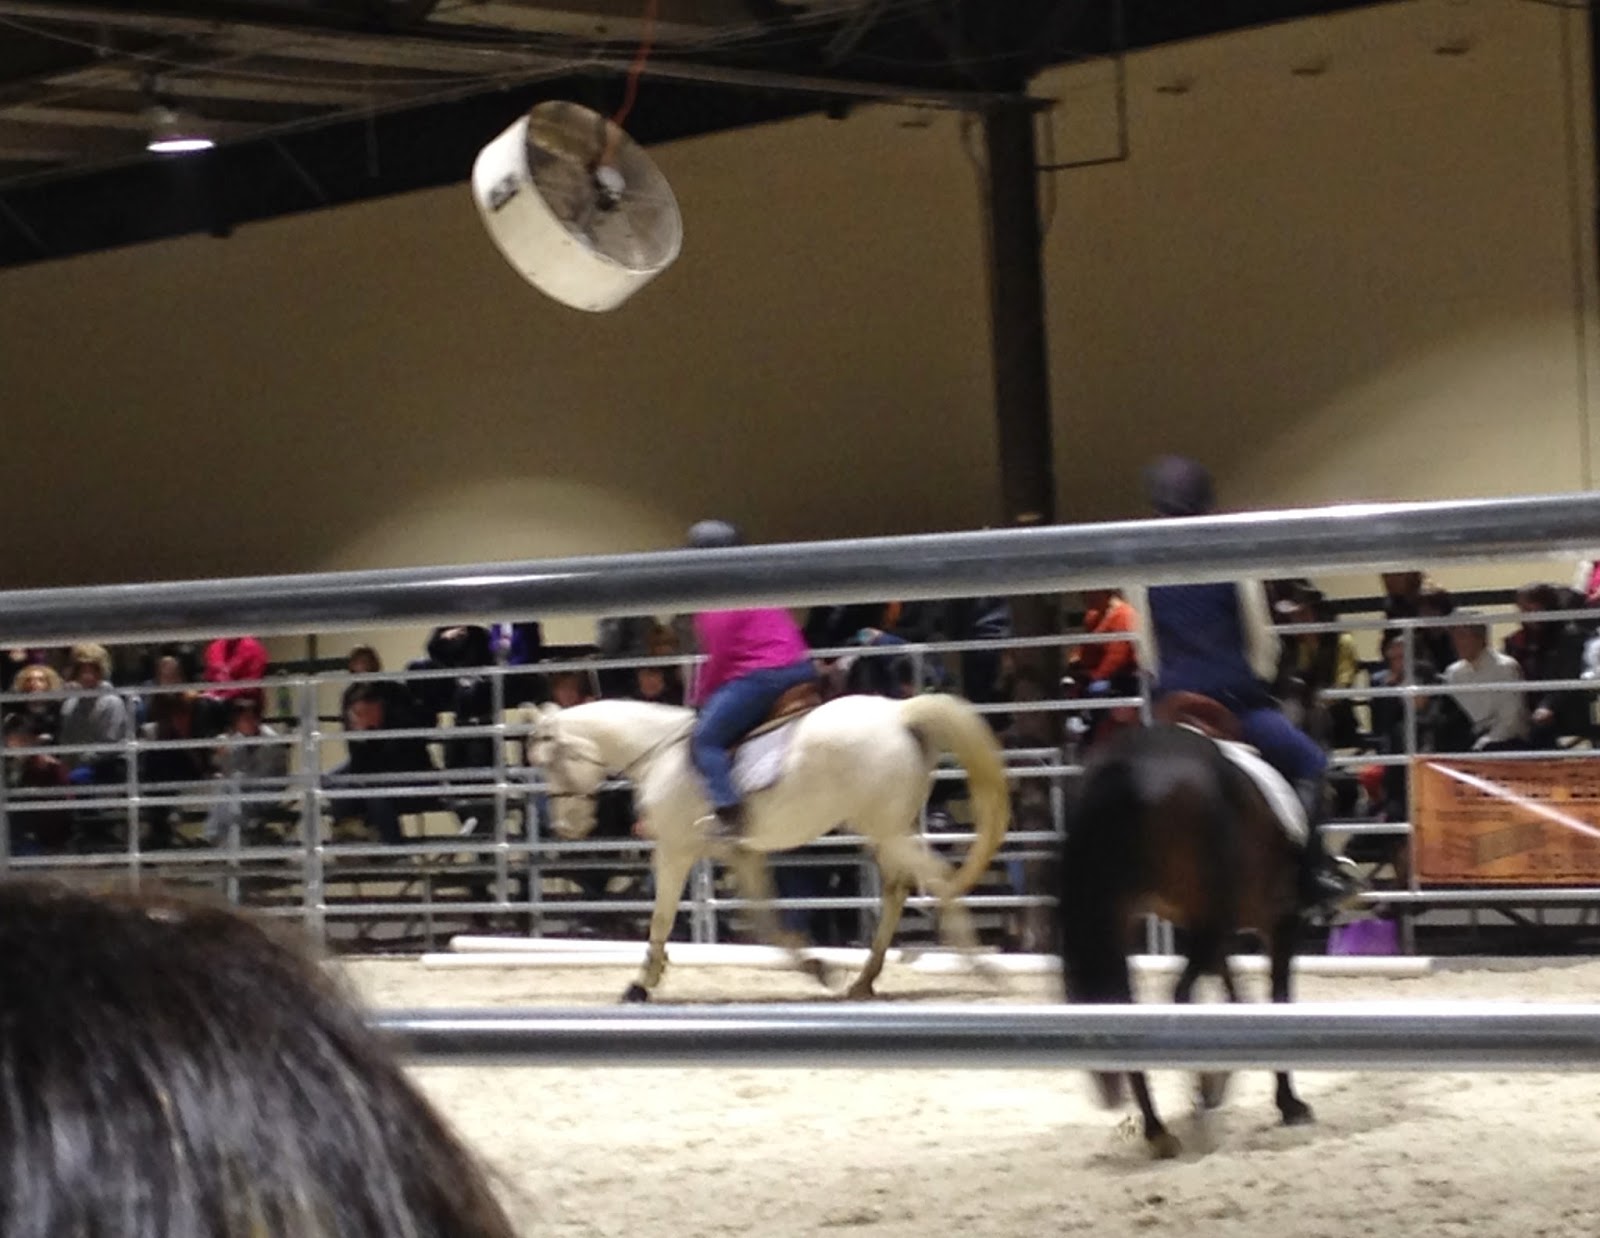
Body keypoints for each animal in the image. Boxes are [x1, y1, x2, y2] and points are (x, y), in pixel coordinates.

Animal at [526, 692, 1011, 1001]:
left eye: (549, 761)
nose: (566, 827)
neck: (659, 754)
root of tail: (898, 713)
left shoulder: (675, 849)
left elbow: (662, 916)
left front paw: (641, 983)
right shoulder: (740, 854)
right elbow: (767, 919)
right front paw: (818, 967)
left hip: (886, 827)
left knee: (936, 877)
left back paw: (981, 967)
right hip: (891, 828)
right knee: (898, 889)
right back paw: (864, 981)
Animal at [1057, 695, 1313, 1159]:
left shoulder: (1208, 927)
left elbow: (1232, 990)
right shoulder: (1276, 923)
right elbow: (1276, 997)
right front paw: (1286, 1102)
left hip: (1126, 920)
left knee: (1130, 1009)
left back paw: (1159, 1128)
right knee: (1177, 997)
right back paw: (1196, 1102)